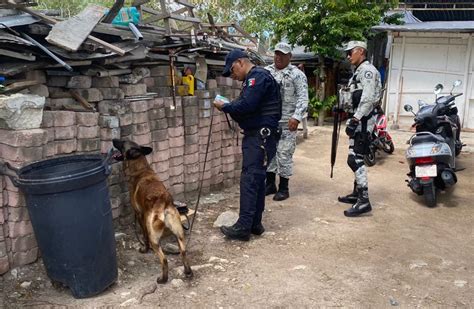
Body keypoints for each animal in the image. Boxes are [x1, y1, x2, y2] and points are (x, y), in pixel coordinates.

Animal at [111, 138, 193, 282]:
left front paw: (145, 249)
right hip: (179, 233)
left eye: (122, 142)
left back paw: (163, 279)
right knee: (183, 252)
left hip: (154, 236)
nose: (113, 139)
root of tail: (164, 201)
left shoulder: (139, 215)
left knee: (164, 259)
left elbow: (144, 236)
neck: (140, 167)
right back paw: (188, 272)